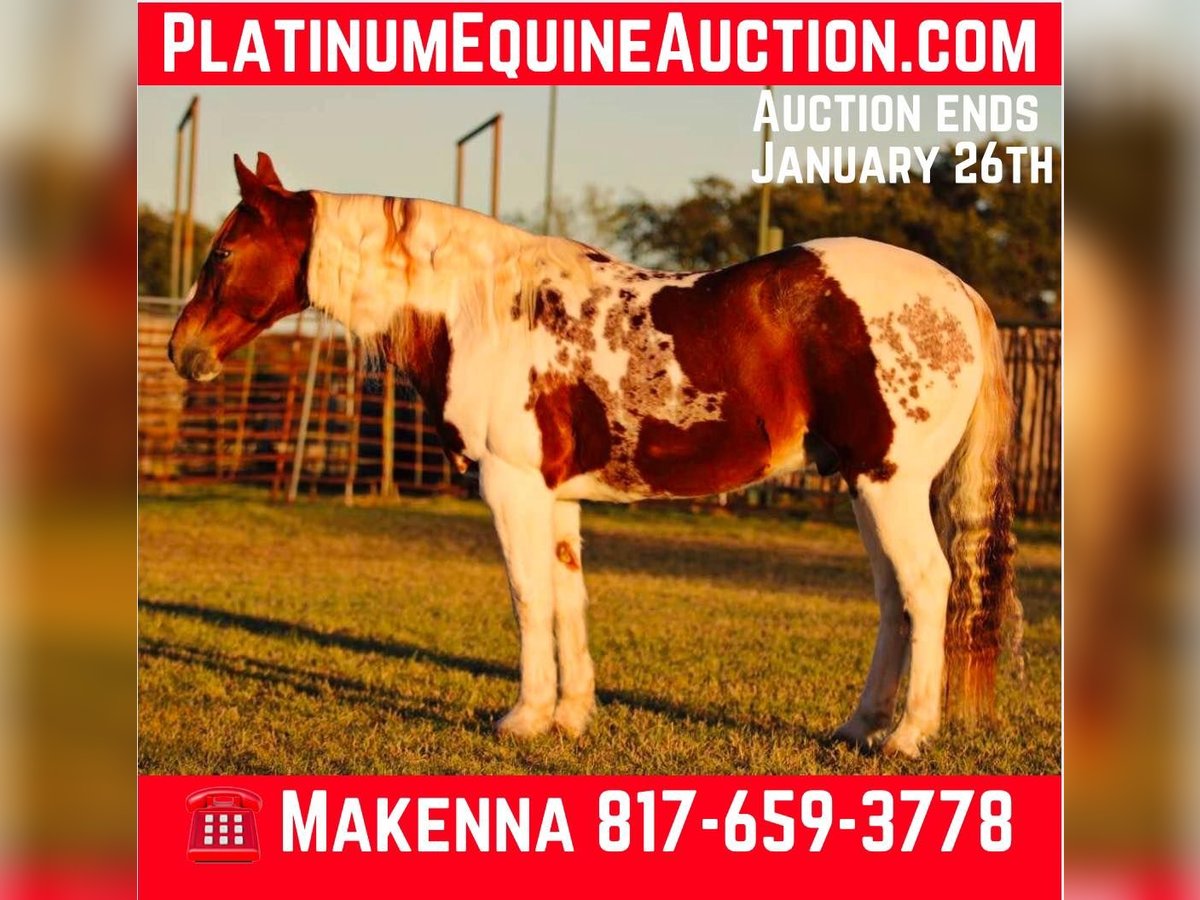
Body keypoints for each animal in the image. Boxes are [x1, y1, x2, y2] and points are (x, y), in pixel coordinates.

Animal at [168, 152, 1019, 757]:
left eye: (225, 251)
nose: (183, 351)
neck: (481, 310)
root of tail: (958, 292)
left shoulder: (511, 487)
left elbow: (528, 597)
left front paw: (524, 716)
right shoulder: (558, 496)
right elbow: (568, 596)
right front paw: (572, 716)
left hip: (889, 484)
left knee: (925, 586)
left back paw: (907, 736)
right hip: (864, 486)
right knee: (893, 598)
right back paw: (859, 728)